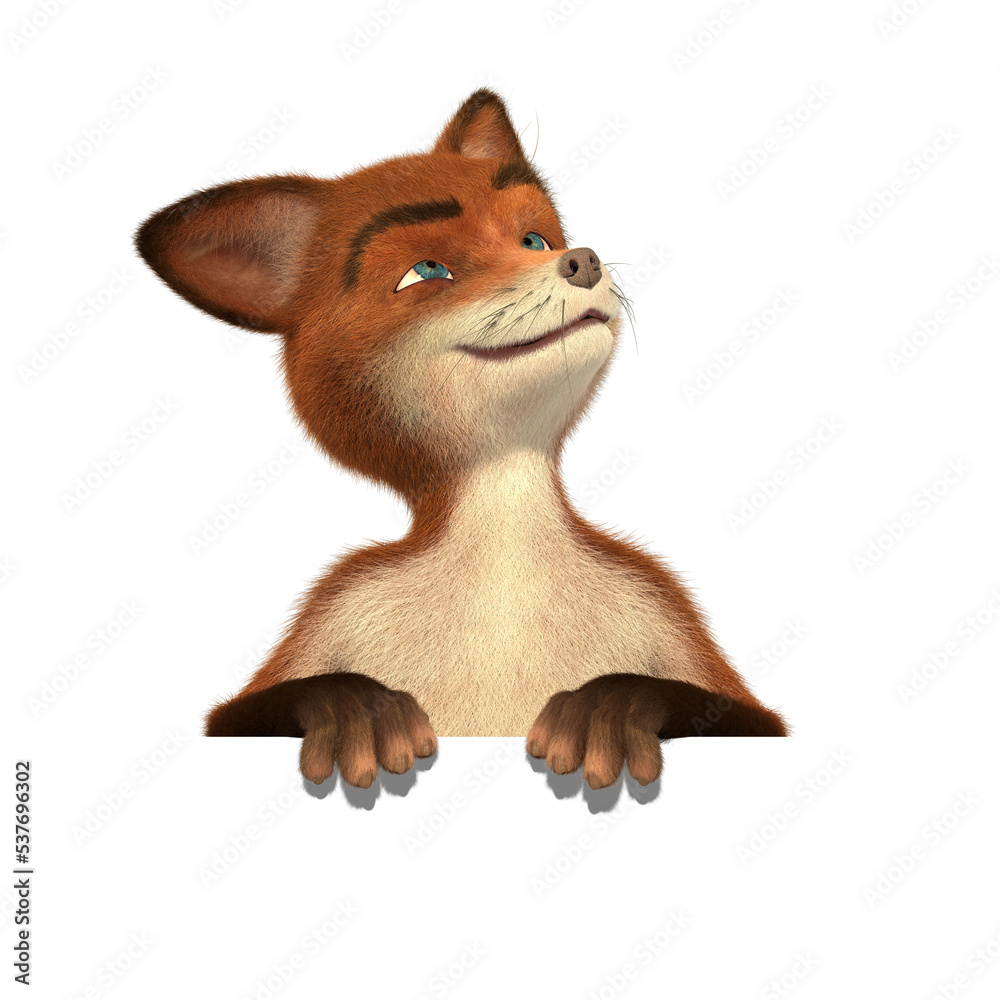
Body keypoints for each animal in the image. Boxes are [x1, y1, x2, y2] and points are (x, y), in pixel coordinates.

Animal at [135, 88, 788, 793]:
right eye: (426, 271)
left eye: (533, 239)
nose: (581, 260)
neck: (501, 559)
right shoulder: (328, 626)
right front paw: (355, 712)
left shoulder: (666, 621)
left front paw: (607, 709)